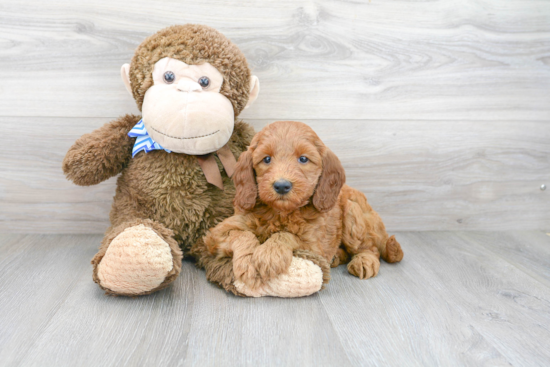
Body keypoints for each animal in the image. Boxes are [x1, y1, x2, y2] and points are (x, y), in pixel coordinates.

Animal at [203, 122, 406, 292]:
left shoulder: (314, 245)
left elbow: (286, 235)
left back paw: (364, 261)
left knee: (370, 248)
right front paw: (247, 262)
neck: (280, 213)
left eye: (303, 159)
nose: (282, 186)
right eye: (266, 159)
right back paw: (337, 257)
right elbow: (243, 234)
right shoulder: (217, 233)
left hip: (353, 214)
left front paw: (269, 254)